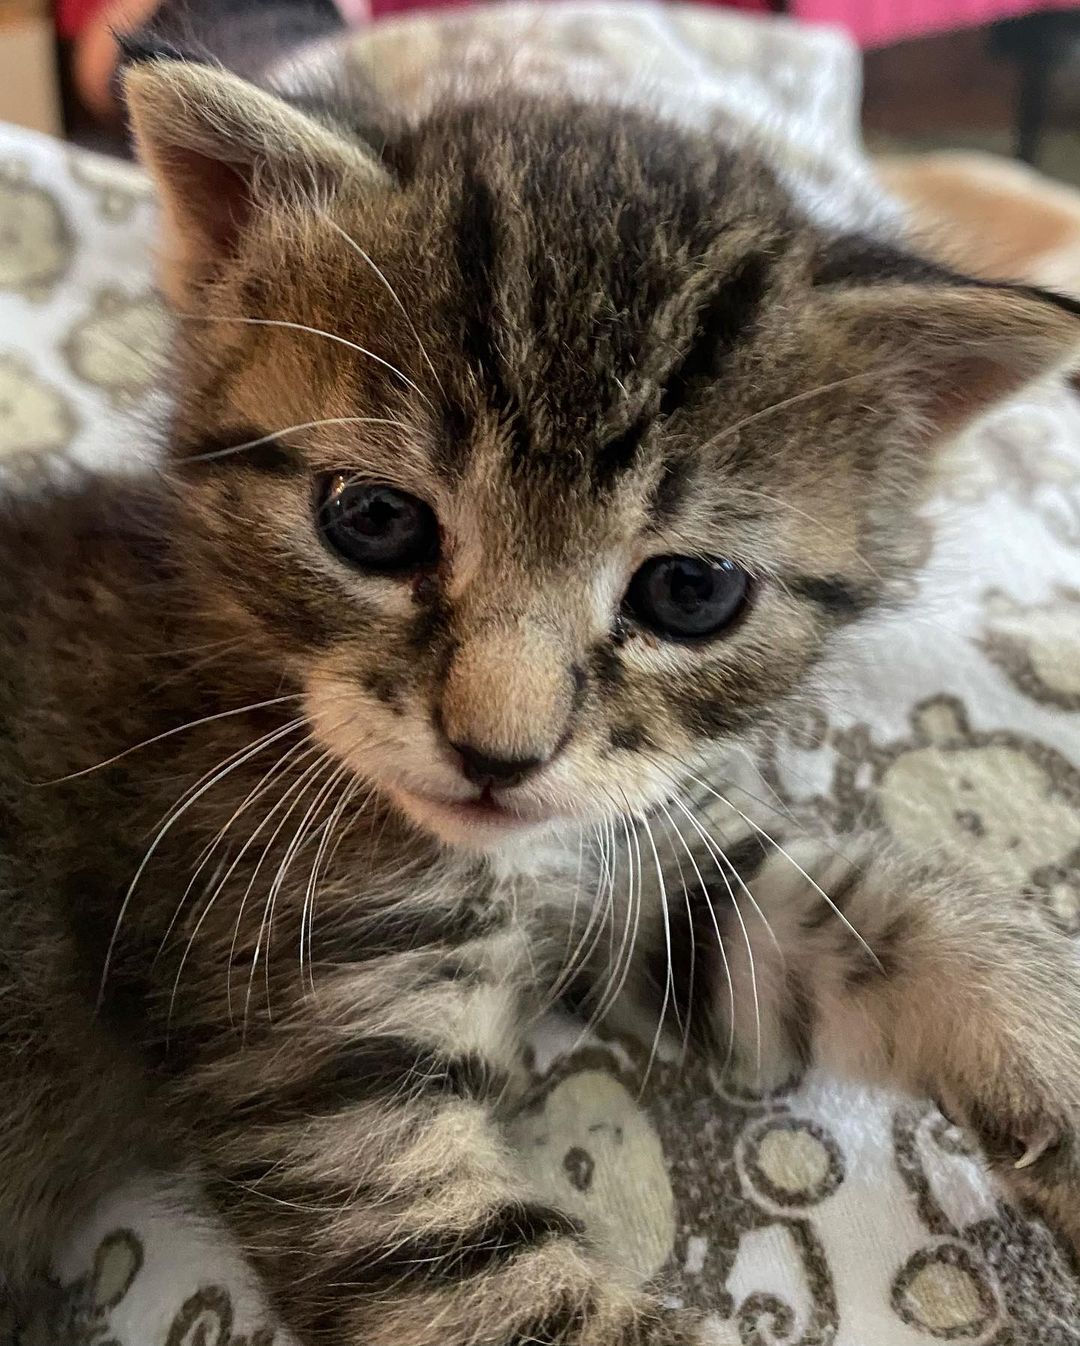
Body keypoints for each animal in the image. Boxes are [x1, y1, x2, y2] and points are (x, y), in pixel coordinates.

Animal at [2, 36, 1077, 1340]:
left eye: (691, 592)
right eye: (374, 519)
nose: (496, 753)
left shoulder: (631, 857)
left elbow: (884, 918)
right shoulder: (319, 1060)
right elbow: (502, 1285)